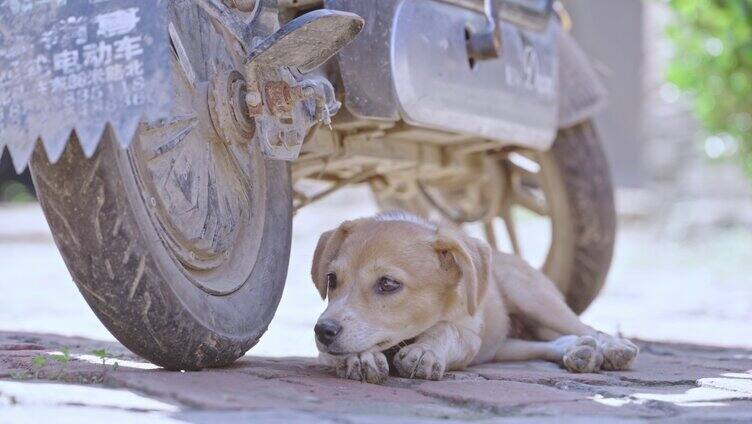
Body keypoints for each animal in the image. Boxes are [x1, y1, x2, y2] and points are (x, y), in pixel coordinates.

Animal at [308, 212, 636, 384]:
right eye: (332, 279)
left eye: (388, 283)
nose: (322, 331)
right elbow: (341, 350)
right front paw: (359, 357)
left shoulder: (468, 336)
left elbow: (446, 330)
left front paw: (425, 351)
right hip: (502, 348)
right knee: (547, 343)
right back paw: (578, 351)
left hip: (534, 298)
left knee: (586, 328)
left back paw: (611, 347)